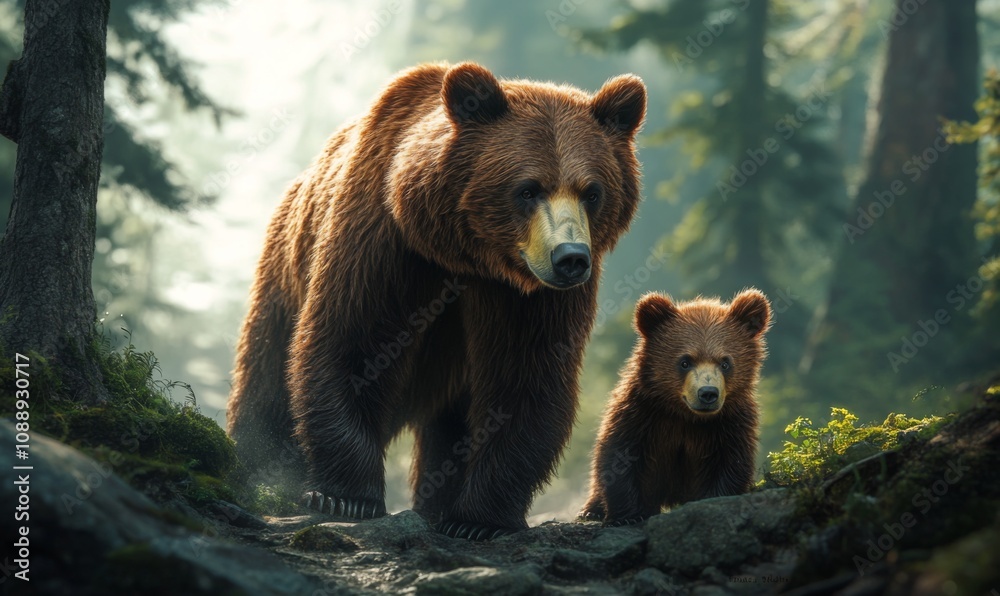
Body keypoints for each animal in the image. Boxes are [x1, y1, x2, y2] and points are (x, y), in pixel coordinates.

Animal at [226, 62, 647, 539]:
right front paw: (346, 496)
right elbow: (353, 341)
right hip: (283, 270)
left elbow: (526, 376)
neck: (463, 253)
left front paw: (478, 520)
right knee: (265, 375)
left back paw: (437, 506)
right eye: (528, 189)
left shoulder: (528, 297)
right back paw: (261, 469)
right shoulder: (384, 240)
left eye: (592, 192)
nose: (571, 258)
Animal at [579, 289, 771, 525]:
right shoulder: (642, 413)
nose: (707, 393)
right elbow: (619, 457)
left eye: (725, 362)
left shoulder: (729, 423)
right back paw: (591, 510)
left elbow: (731, 463)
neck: (685, 416)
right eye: (685, 361)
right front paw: (627, 516)